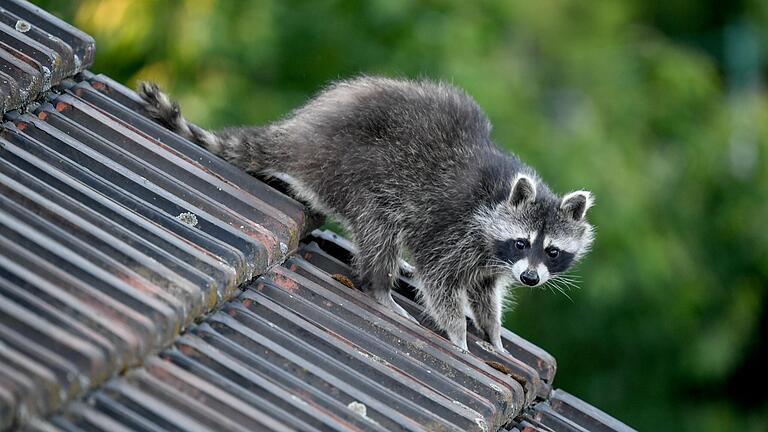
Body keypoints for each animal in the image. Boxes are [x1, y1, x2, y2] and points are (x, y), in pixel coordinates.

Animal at [138, 75, 592, 352]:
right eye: (522, 242)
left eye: (552, 251)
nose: (530, 279)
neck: (499, 195)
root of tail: (306, 135)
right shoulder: (454, 226)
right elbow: (439, 277)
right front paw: (458, 334)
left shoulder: (490, 258)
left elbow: (485, 291)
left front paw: (493, 333)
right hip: (362, 170)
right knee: (381, 227)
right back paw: (380, 287)